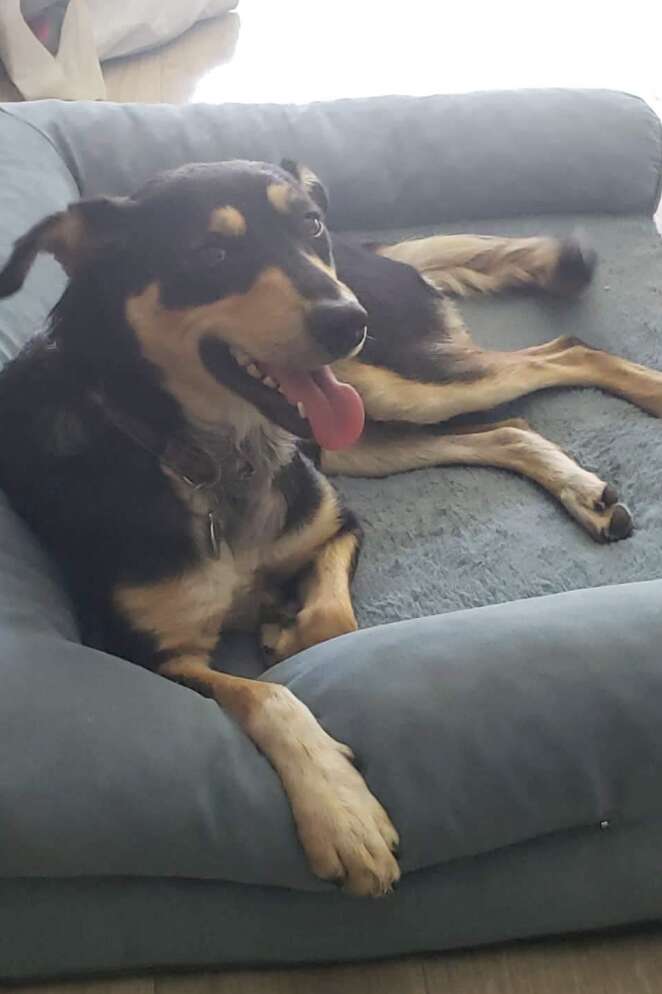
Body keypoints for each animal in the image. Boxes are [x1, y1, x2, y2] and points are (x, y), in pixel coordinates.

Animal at [1, 159, 662, 896]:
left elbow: (329, 624)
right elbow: (266, 692)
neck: (217, 459)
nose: (349, 319)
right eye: (211, 254)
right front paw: (340, 809)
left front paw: (284, 630)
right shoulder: (146, 655)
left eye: (307, 224)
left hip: (390, 386)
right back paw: (587, 492)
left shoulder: (336, 521)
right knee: (510, 426)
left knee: (565, 353)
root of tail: (366, 251)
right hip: (364, 434)